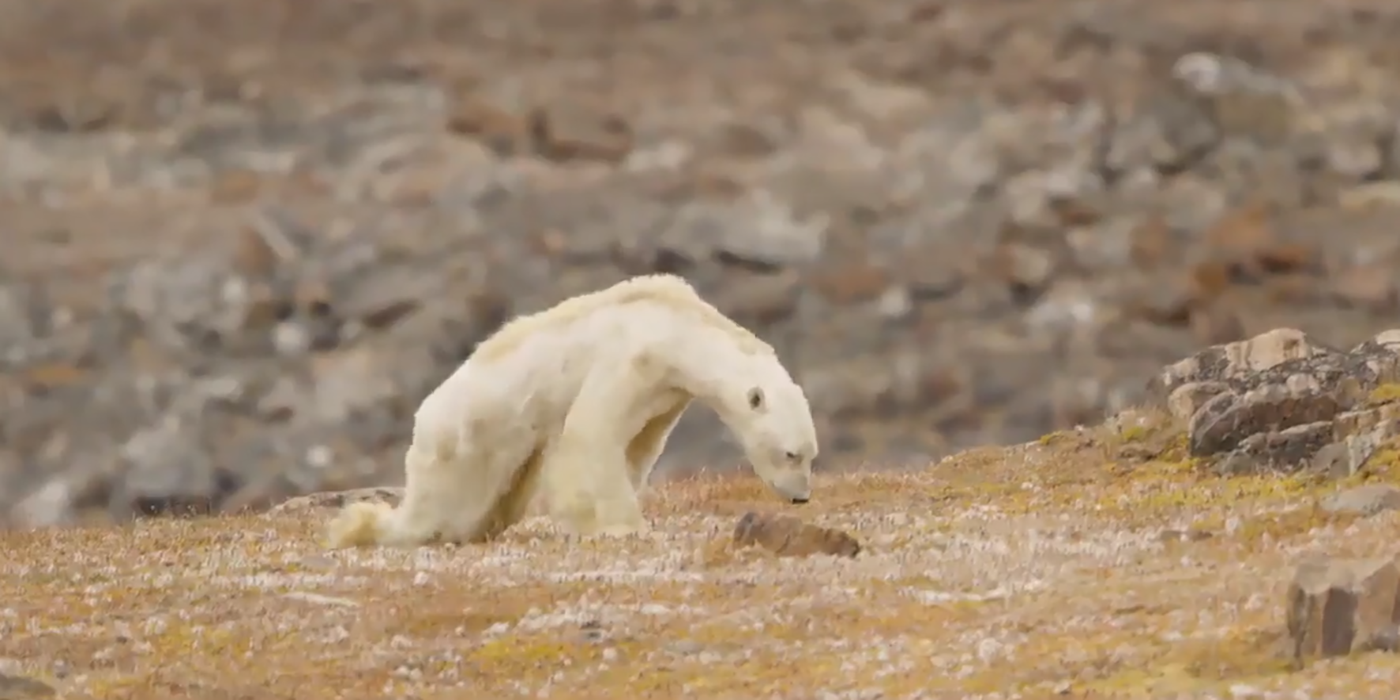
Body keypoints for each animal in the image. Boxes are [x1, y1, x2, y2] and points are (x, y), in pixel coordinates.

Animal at [320, 271, 817, 546]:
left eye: (811, 455)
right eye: (791, 453)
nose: (801, 497)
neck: (677, 325)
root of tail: (424, 419)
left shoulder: (665, 393)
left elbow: (636, 445)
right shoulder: (630, 358)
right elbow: (591, 432)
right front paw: (622, 526)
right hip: (467, 441)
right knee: (441, 510)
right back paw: (364, 527)